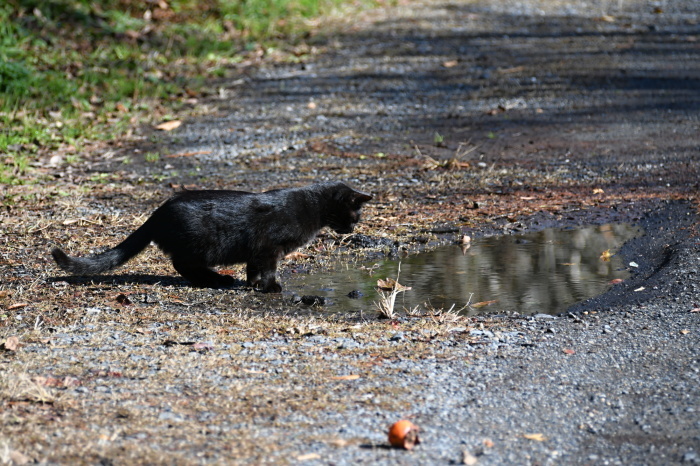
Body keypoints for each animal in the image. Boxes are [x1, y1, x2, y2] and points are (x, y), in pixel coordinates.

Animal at [50, 181, 372, 292]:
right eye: (355, 216)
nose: (353, 230)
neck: (311, 207)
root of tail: (159, 211)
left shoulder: (258, 250)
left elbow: (254, 269)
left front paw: (253, 285)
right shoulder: (270, 248)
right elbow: (267, 269)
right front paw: (270, 288)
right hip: (200, 246)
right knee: (182, 265)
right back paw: (217, 280)